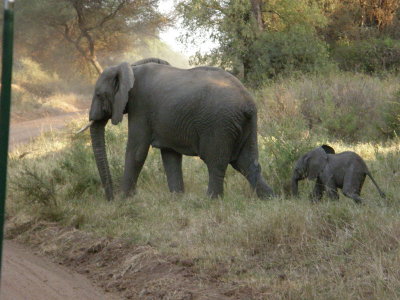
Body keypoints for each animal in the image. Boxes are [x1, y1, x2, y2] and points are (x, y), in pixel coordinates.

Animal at [79, 57, 274, 200]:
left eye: (99, 94)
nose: (110, 198)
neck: (131, 67)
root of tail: (247, 103)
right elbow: (169, 154)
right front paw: (176, 198)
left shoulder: (140, 106)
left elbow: (137, 151)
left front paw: (125, 199)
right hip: (246, 123)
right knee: (247, 163)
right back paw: (270, 199)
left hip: (219, 124)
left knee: (216, 162)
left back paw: (211, 201)